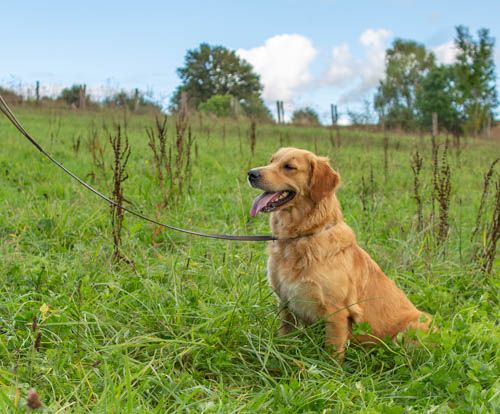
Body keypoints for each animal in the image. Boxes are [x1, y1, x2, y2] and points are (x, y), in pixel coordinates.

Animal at [249, 147, 434, 358]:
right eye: (271, 161)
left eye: (289, 167)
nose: (251, 174)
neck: (303, 235)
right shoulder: (286, 304)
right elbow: (284, 339)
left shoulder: (336, 312)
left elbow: (332, 354)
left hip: (411, 328)